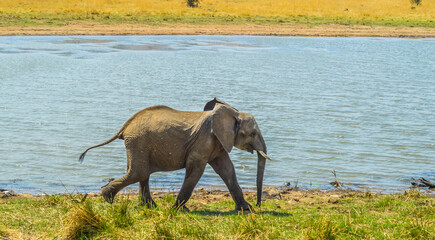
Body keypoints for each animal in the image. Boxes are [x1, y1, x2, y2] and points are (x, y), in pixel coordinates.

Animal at [78, 98, 270, 211]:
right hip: (138, 142)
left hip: (138, 144)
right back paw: (107, 197)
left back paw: (149, 207)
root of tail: (125, 126)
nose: (260, 204)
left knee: (141, 173)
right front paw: (178, 210)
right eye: (252, 133)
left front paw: (247, 210)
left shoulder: (217, 144)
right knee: (139, 172)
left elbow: (227, 170)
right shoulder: (204, 141)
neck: (232, 113)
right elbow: (195, 170)